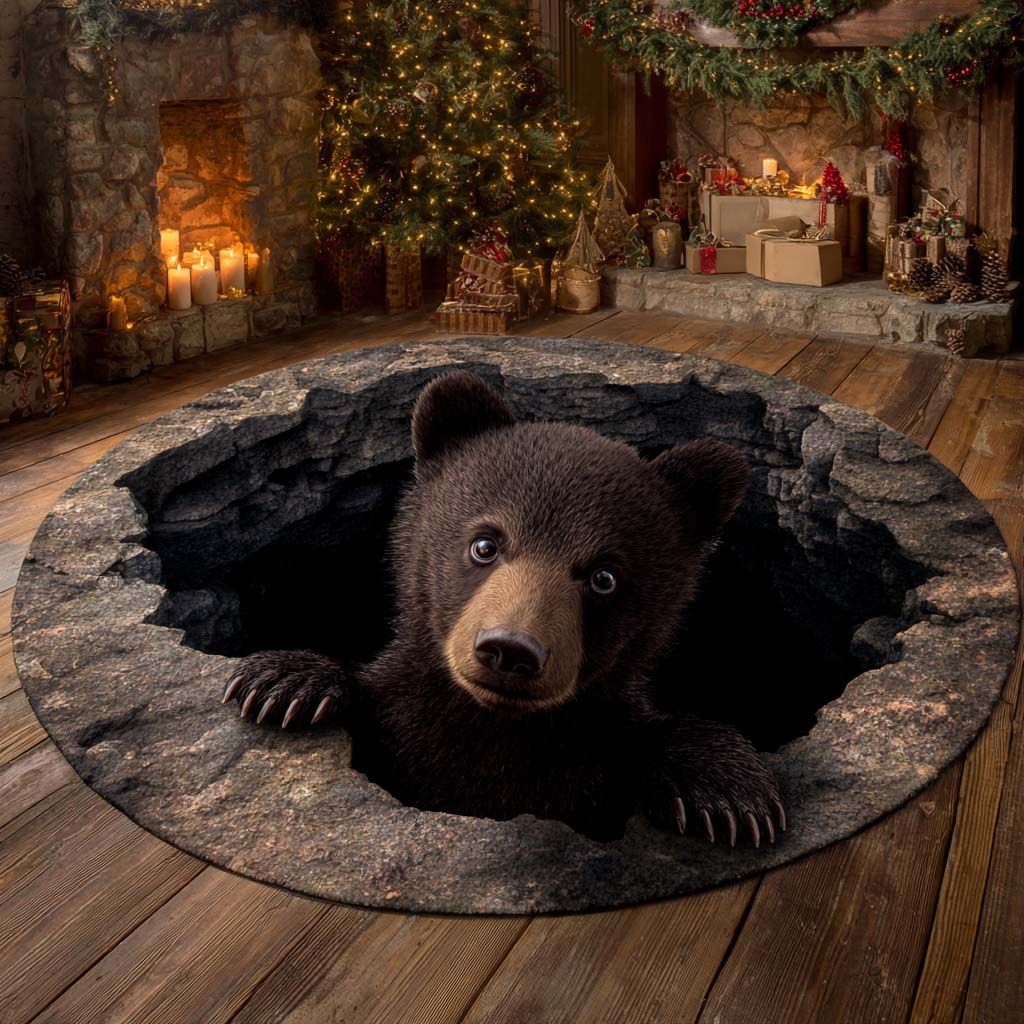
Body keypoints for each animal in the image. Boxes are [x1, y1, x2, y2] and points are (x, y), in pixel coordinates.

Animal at [223, 371, 785, 845]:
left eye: (605, 576)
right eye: (485, 544)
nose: (510, 650)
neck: (497, 725)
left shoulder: (593, 750)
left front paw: (729, 796)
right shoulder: (404, 726)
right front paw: (282, 685)